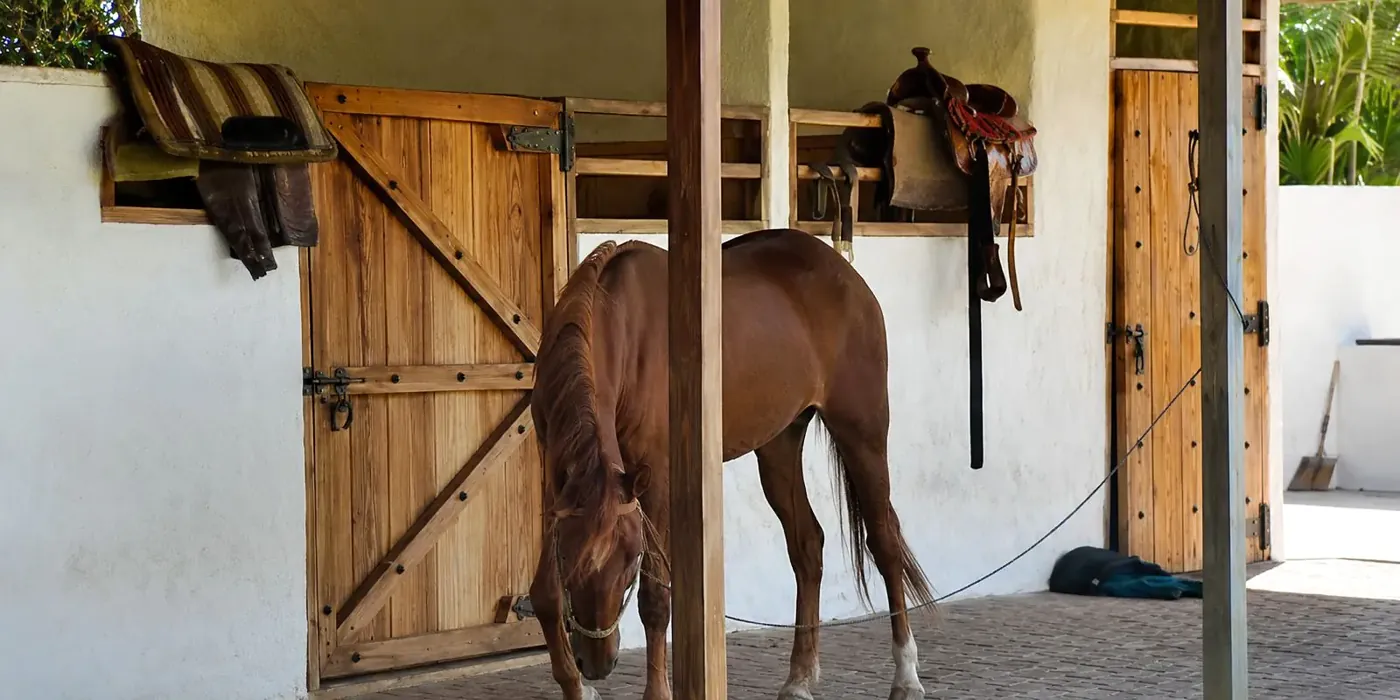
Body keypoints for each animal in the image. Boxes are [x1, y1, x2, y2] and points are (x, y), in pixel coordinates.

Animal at [526, 228, 936, 700]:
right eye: (569, 557)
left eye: (630, 561)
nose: (596, 664)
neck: (620, 326)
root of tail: (847, 275)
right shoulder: (555, 477)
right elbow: (546, 594)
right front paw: (575, 687)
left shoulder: (657, 478)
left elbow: (656, 598)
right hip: (779, 447)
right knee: (807, 545)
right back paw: (798, 678)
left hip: (862, 432)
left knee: (884, 542)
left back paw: (906, 675)